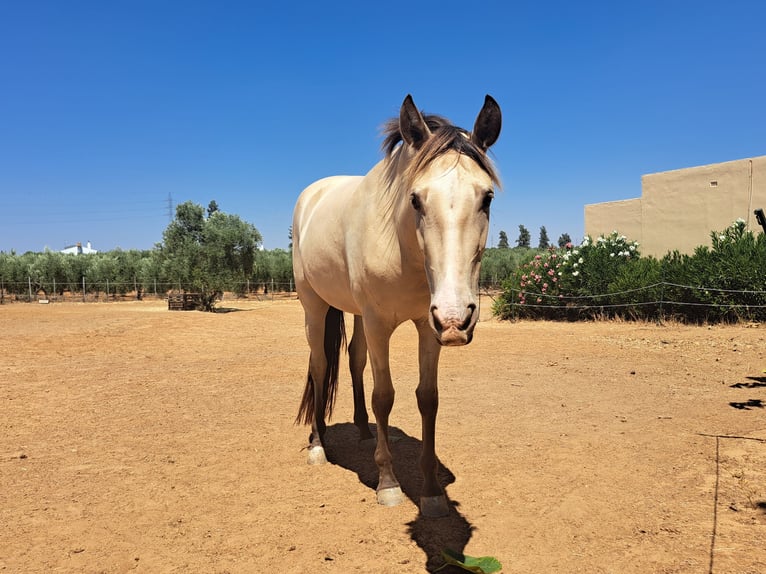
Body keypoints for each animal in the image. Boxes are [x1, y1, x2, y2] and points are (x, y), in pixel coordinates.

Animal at [292, 93, 500, 516]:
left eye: (486, 197)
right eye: (416, 199)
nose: (457, 319)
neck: (402, 245)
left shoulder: (427, 326)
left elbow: (427, 398)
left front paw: (432, 491)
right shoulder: (379, 325)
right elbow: (384, 396)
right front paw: (388, 483)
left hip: (356, 314)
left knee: (353, 359)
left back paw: (361, 429)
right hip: (314, 307)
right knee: (320, 366)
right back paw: (318, 444)